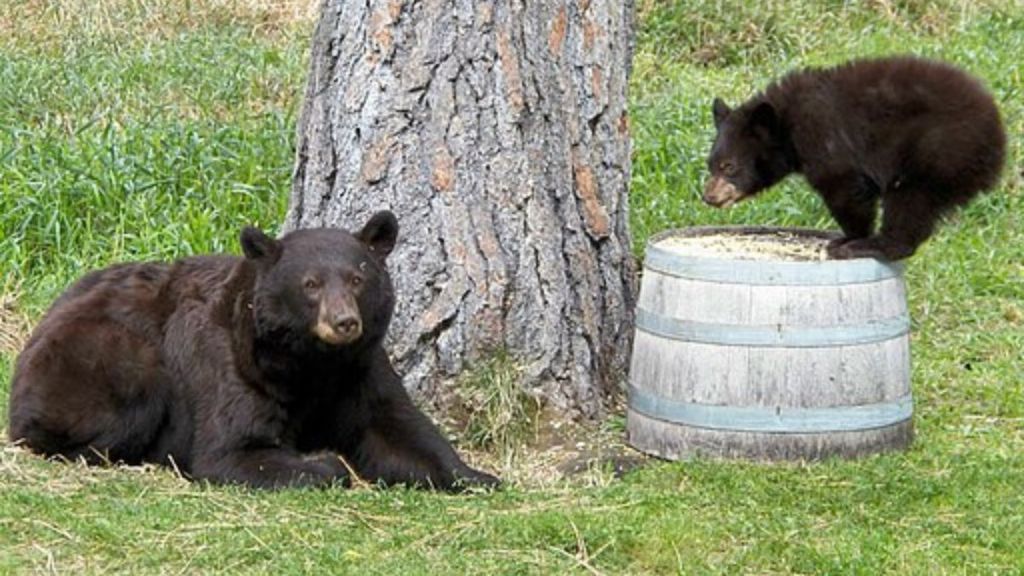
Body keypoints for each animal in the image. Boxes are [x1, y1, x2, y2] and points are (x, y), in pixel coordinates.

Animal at [6, 211, 501, 487]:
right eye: (311, 284)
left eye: (358, 278)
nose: (344, 322)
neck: (311, 361)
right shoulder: (231, 363)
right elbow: (232, 448)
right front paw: (326, 463)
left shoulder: (359, 369)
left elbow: (396, 427)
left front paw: (477, 476)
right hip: (105, 358)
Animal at [708, 55, 1003, 258]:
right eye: (710, 165)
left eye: (729, 166)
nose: (708, 196)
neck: (787, 121)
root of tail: (997, 141)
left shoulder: (824, 137)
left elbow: (844, 188)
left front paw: (847, 238)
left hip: (938, 153)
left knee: (910, 202)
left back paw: (873, 245)